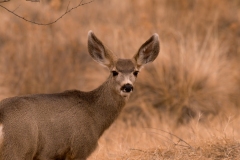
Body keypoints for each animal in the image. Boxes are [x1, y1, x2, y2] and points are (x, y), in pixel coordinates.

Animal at [0, 30, 159, 159]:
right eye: (114, 72)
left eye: (136, 72)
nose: (127, 86)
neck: (94, 113)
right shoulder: (80, 147)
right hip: (18, 147)